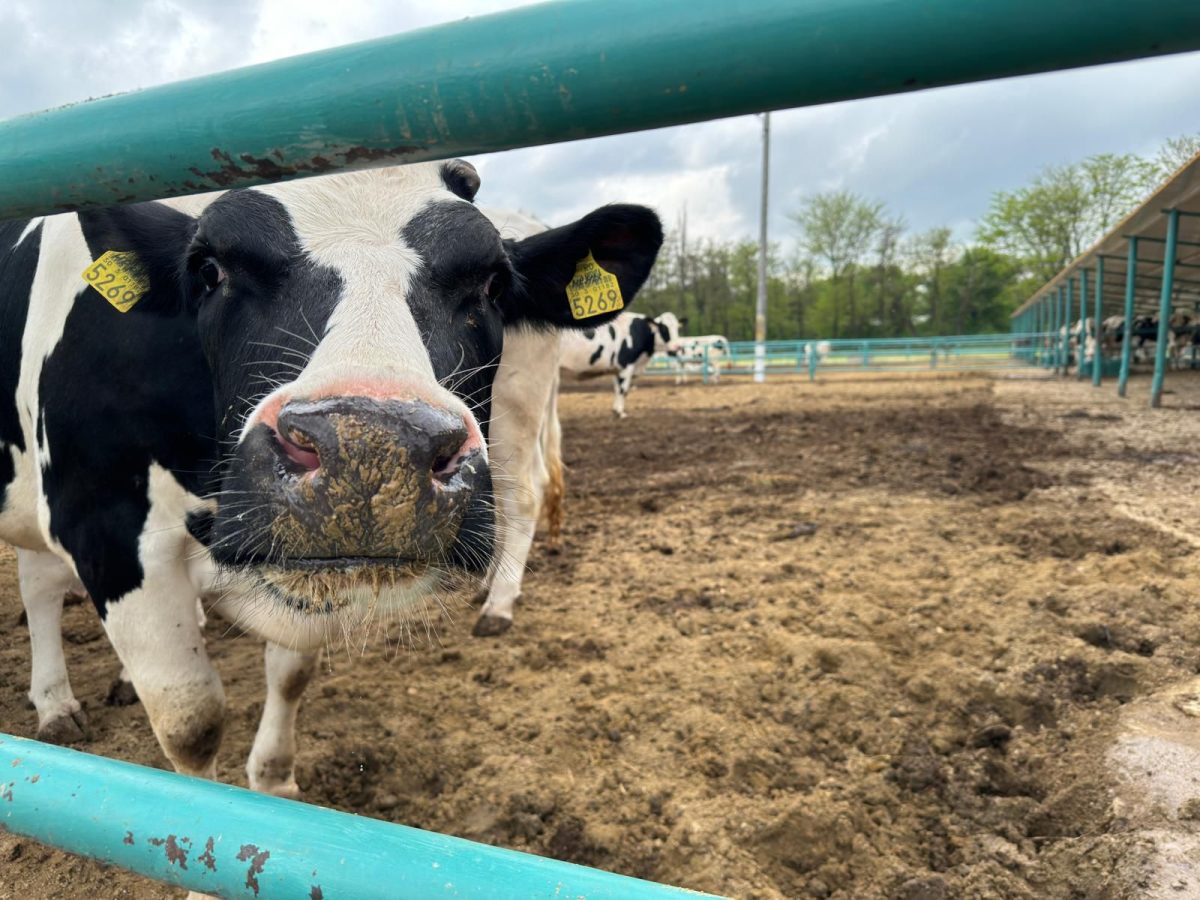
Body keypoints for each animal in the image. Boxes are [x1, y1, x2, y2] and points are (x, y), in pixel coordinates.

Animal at [0, 162, 663, 794]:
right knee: (38, 582)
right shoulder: (103, 527)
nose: (371, 450)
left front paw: (273, 780)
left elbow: (292, 672)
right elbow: (192, 723)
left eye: (494, 285)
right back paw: (57, 702)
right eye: (209, 270)